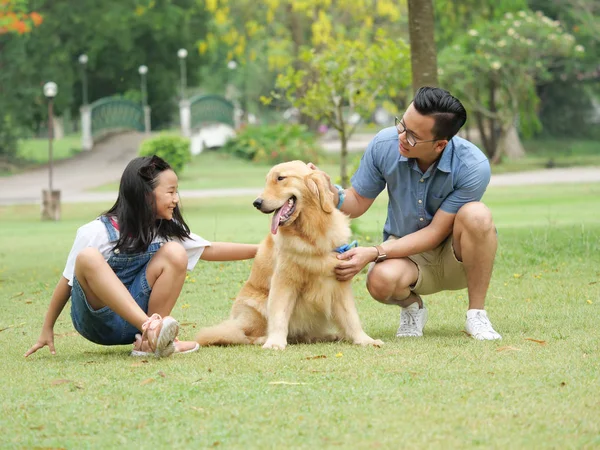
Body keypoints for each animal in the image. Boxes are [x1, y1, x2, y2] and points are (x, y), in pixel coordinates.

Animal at [197, 160, 384, 350]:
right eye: (267, 181)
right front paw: (275, 342)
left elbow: (351, 316)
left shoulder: (339, 281)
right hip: (256, 305)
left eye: (280, 178)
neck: (311, 233)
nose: (256, 202)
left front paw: (365, 339)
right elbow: (279, 314)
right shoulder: (284, 280)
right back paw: (264, 338)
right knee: (243, 335)